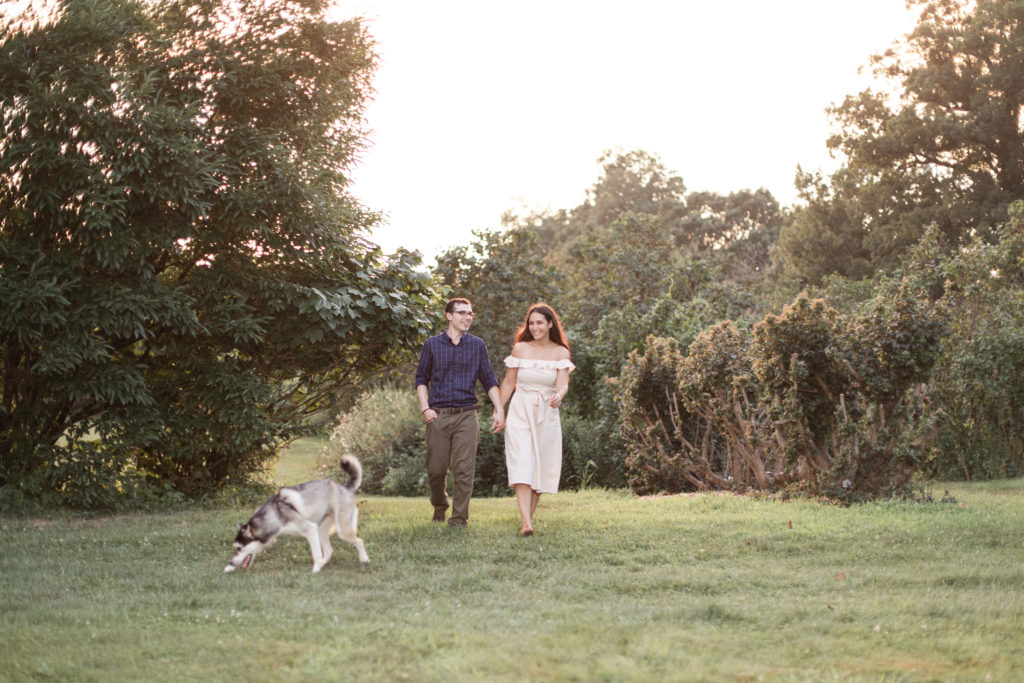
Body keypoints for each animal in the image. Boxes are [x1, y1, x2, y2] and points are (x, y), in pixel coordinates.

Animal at [224, 456, 372, 573]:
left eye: (239, 548)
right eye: (235, 548)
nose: (230, 563)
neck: (276, 514)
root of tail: (345, 487)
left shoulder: (310, 530)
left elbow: (316, 554)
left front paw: (315, 570)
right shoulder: (311, 531)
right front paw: (229, 568)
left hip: (342, 531)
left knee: (359, 541)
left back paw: (364, 559)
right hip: (321, 530)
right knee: (329, 551)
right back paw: (324, 564)